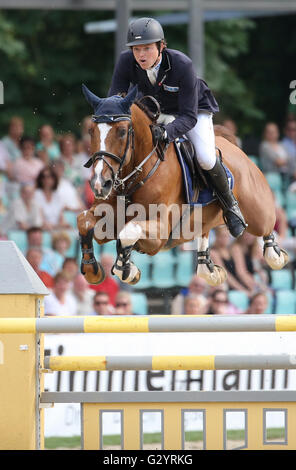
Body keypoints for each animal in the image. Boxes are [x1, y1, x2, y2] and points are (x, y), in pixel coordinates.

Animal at [77, 86, 288, 288]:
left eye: (122, 131)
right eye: (91, 131)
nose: (100, 184)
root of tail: (234, 147)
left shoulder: (159, 232)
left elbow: (128, 232)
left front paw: (126, 269)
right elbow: (84, 221)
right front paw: (93, 271)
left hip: (256, 213)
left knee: (266, 226)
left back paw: (275, 254)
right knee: (204, 235)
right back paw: (209, 269)